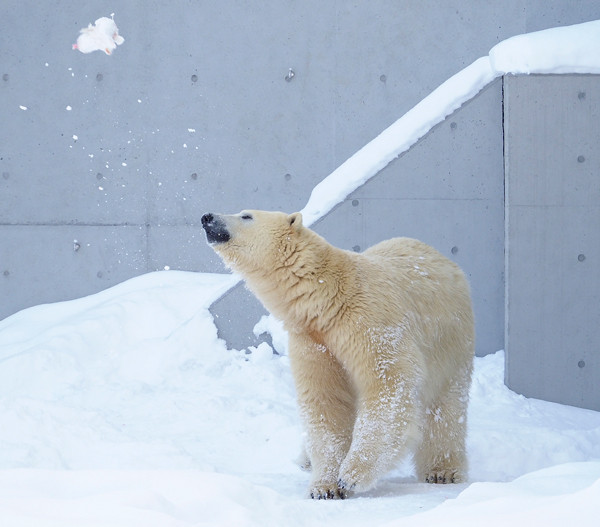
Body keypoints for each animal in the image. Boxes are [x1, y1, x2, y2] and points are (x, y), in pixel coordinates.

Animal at [202, 209, 474, 500]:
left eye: (246, 215)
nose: (207, 217)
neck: (328, 298)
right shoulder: (313, 341)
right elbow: (324, 401)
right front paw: (325, 486)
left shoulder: (371, 322)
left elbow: (387, 386)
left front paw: (352, 475)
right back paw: (305, 459)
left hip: (450, 341)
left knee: (445, 407)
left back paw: (442, 471)